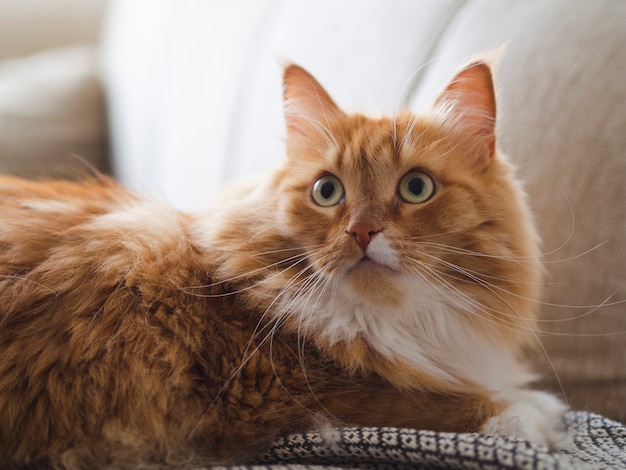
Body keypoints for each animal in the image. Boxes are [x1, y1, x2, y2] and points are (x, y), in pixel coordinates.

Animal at [0, 57, 564, 466]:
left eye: (416, 187)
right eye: (327, 191)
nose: (362, 231)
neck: (386, 322)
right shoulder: (278, 395)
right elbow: (417, 400)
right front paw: (533, 416)